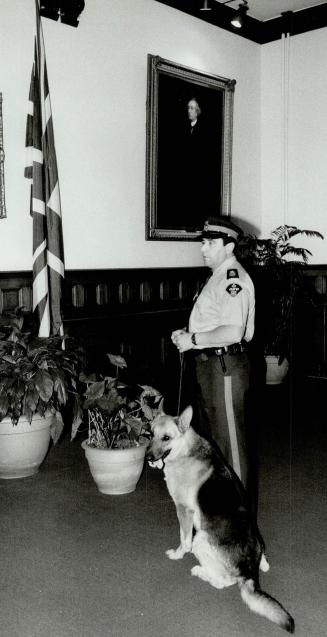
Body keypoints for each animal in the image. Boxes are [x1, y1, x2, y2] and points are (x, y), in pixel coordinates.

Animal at [147, 404, 296, 632]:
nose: (148, 458)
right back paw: (262, 563)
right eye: (150, 434)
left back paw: (201, 571)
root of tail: (249, 571)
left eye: (166, 438)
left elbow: (183, 540)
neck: (184, 449)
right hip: (255, 538)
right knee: (261, 560)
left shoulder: (183, 510)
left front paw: (178, 554)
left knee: (222, 582)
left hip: (200, 540)